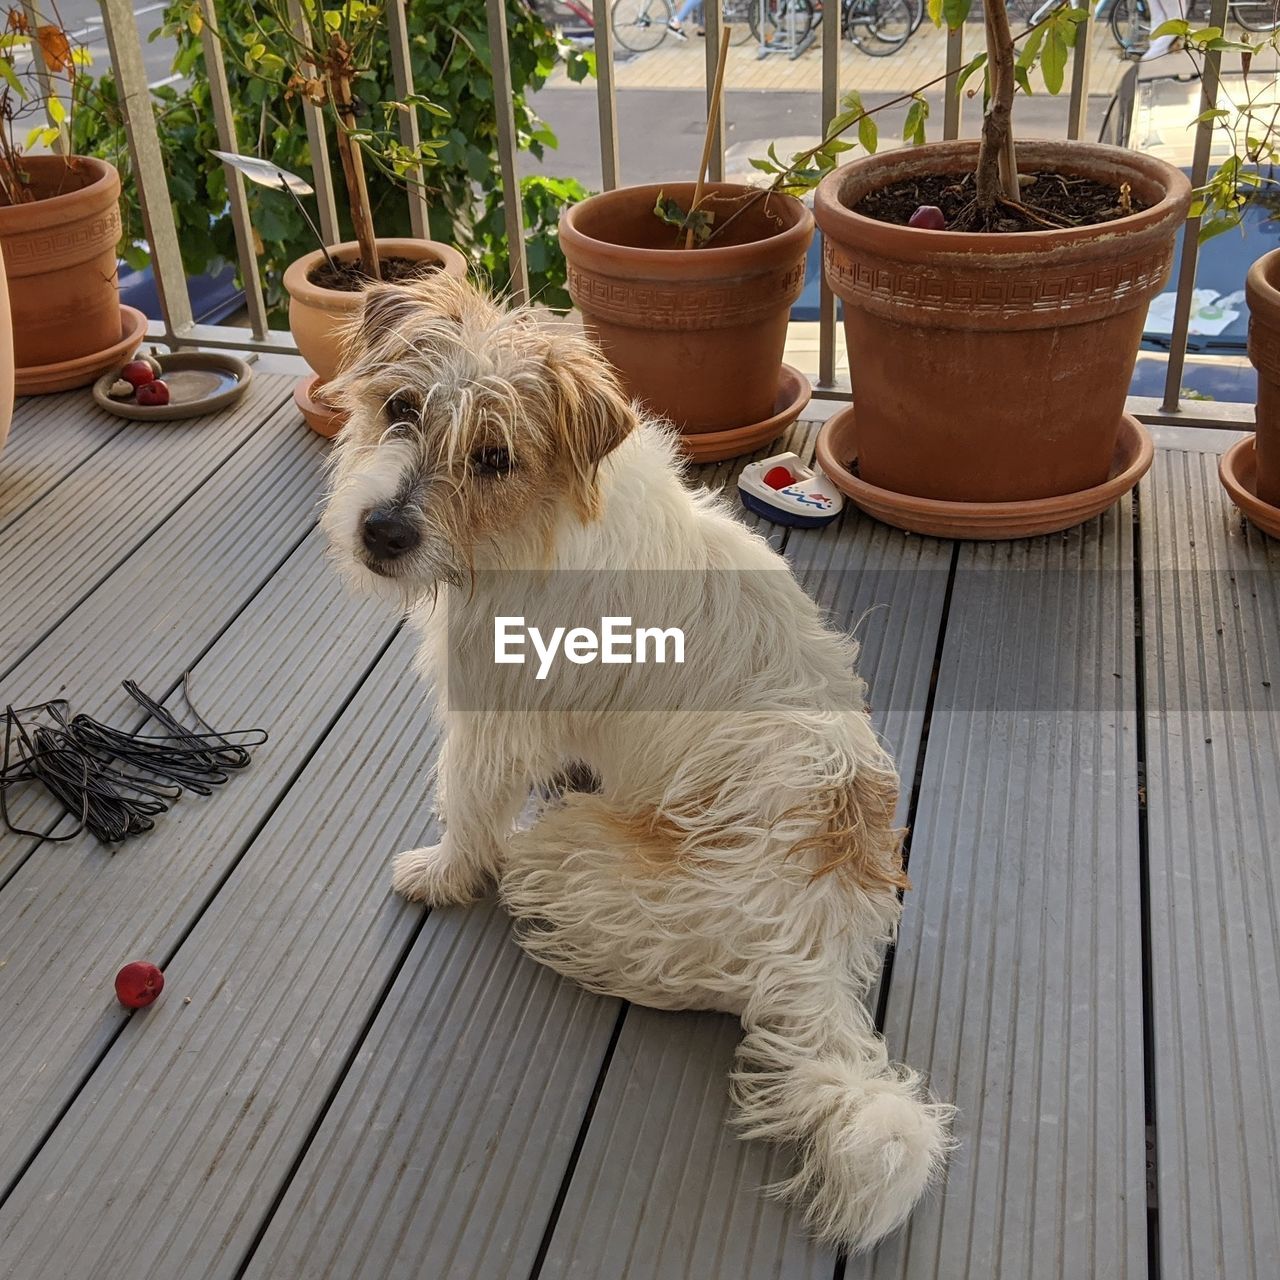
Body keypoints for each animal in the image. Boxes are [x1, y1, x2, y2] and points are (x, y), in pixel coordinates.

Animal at [322, 272, 952, 1249]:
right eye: (399, 408)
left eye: (494, 458)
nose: (382, 534)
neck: (532, 527)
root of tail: (821, 945)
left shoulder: (493, 720)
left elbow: (467, 802)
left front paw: (441, 872)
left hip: (568, 857)